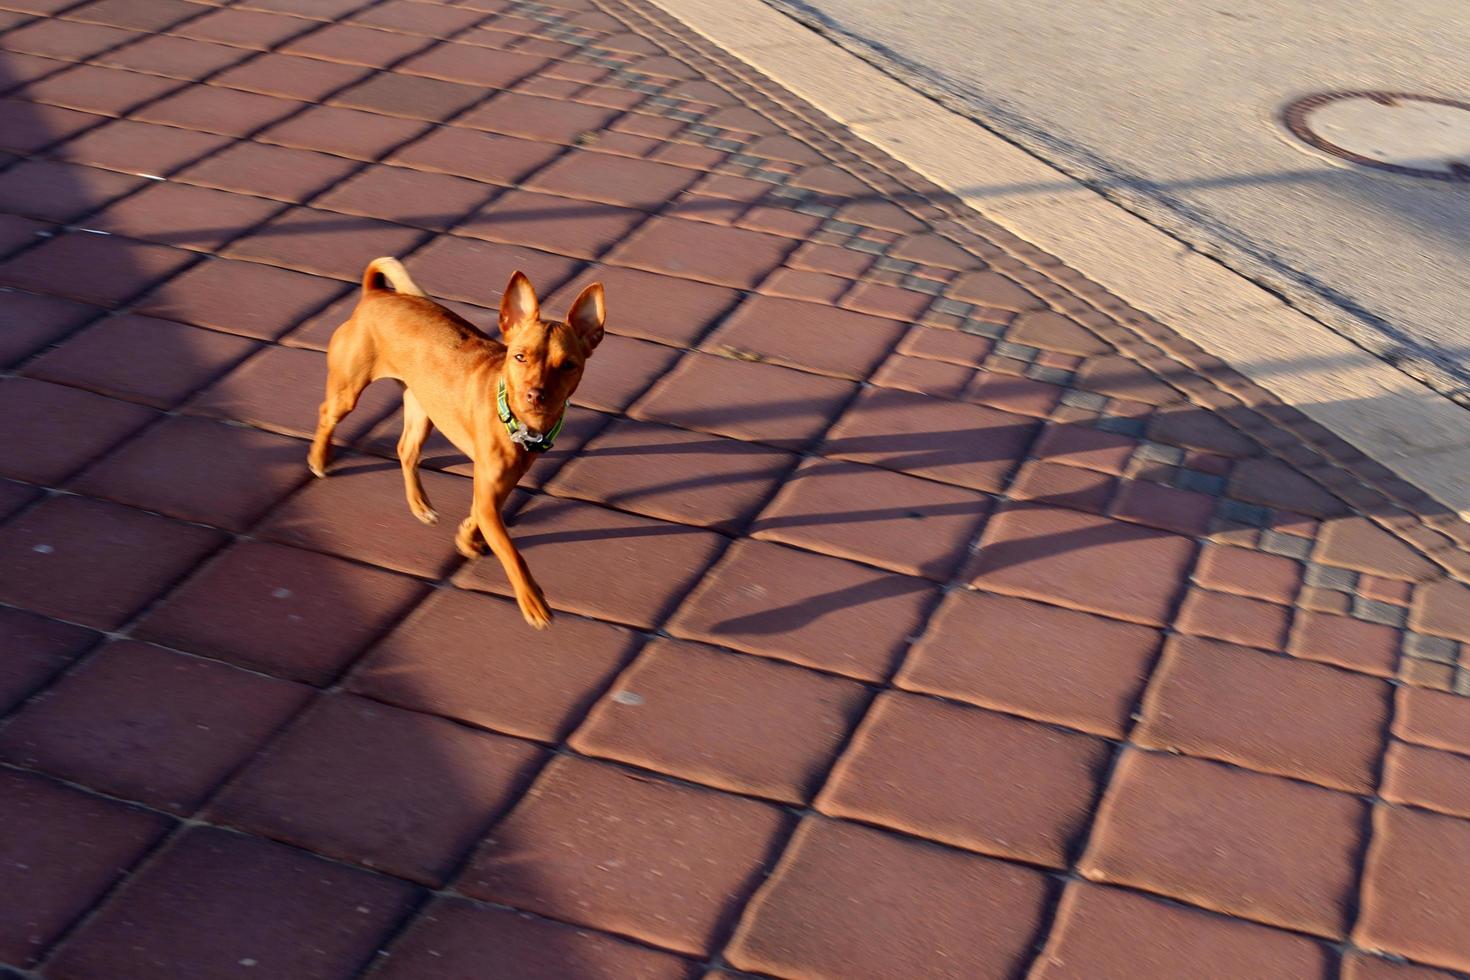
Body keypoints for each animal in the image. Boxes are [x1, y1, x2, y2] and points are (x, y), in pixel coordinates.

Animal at [307, 258, 605, 628]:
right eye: (520, 357)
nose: (536, 394)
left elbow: (478, 514)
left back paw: (420, 505)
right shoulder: (490, 492)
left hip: (422, 409)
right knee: (326, 415)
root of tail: (374, 294)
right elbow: (512, 552)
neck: (521, 424)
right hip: (348, 392)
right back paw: (319, 459)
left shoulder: (498, 487)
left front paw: (466, 537)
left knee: (406, 451)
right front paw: (532, 601)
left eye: (568, 366)